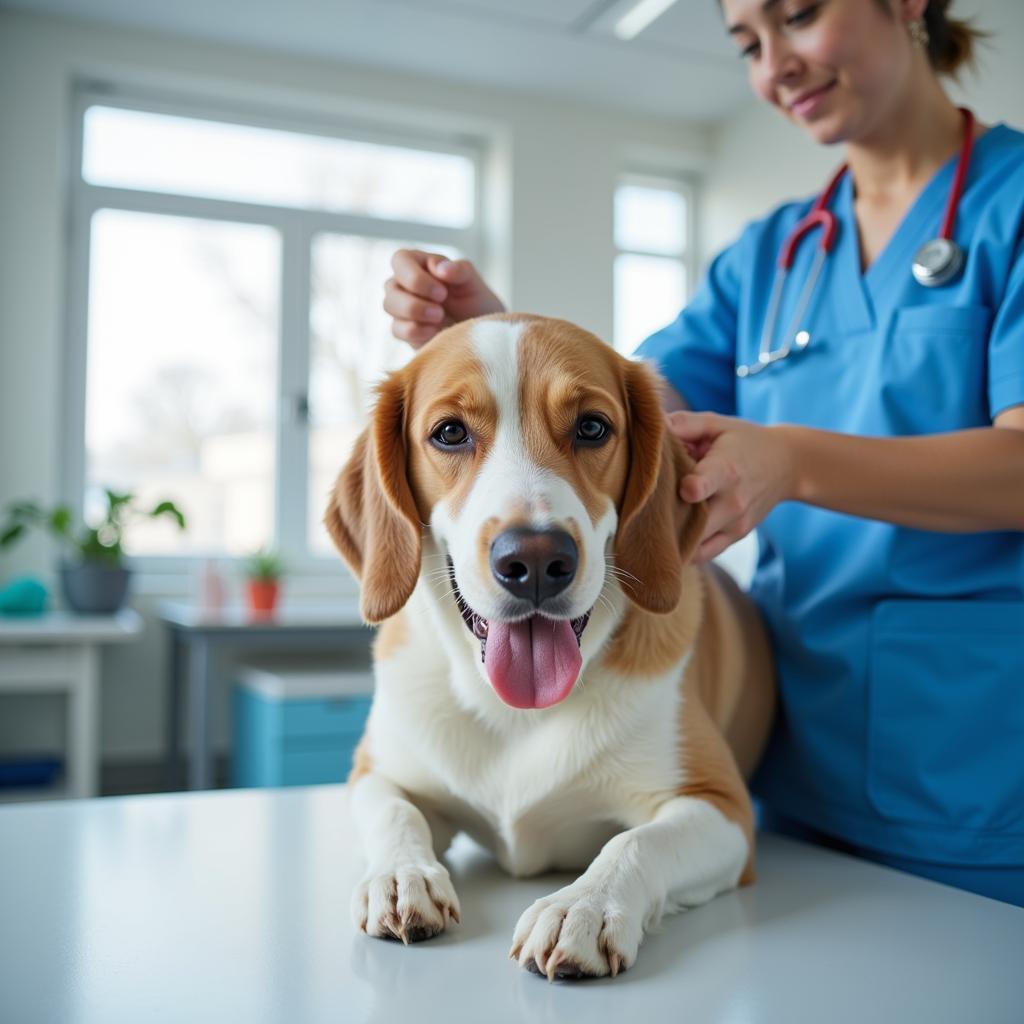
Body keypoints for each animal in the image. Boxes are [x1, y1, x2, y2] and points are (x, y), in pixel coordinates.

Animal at [327, 313, 774, 983]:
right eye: (450, 433)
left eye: (592, 427)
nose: (535, 560)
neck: (513, 712)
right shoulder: (375, 773)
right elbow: (394, 812)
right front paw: (402, 875)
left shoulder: (723, 808)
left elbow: (635, 841)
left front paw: (583, 905)